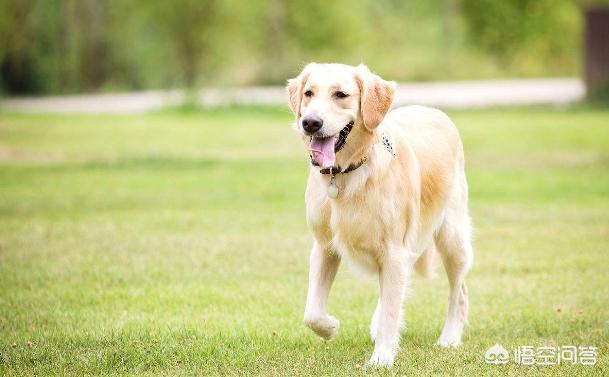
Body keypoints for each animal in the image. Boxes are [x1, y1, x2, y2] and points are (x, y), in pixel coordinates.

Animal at [286, 63, 476, 366]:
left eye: (341, 95)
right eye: (308, 93)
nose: (310, 122)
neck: (346, 174)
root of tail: (435, 110)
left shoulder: (394, 250)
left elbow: (391, 310)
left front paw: (382, 358)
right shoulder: (324, 246)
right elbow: (312, 313)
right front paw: (329, 327)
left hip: (452, 238)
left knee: (459, 292)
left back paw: (449, 338)